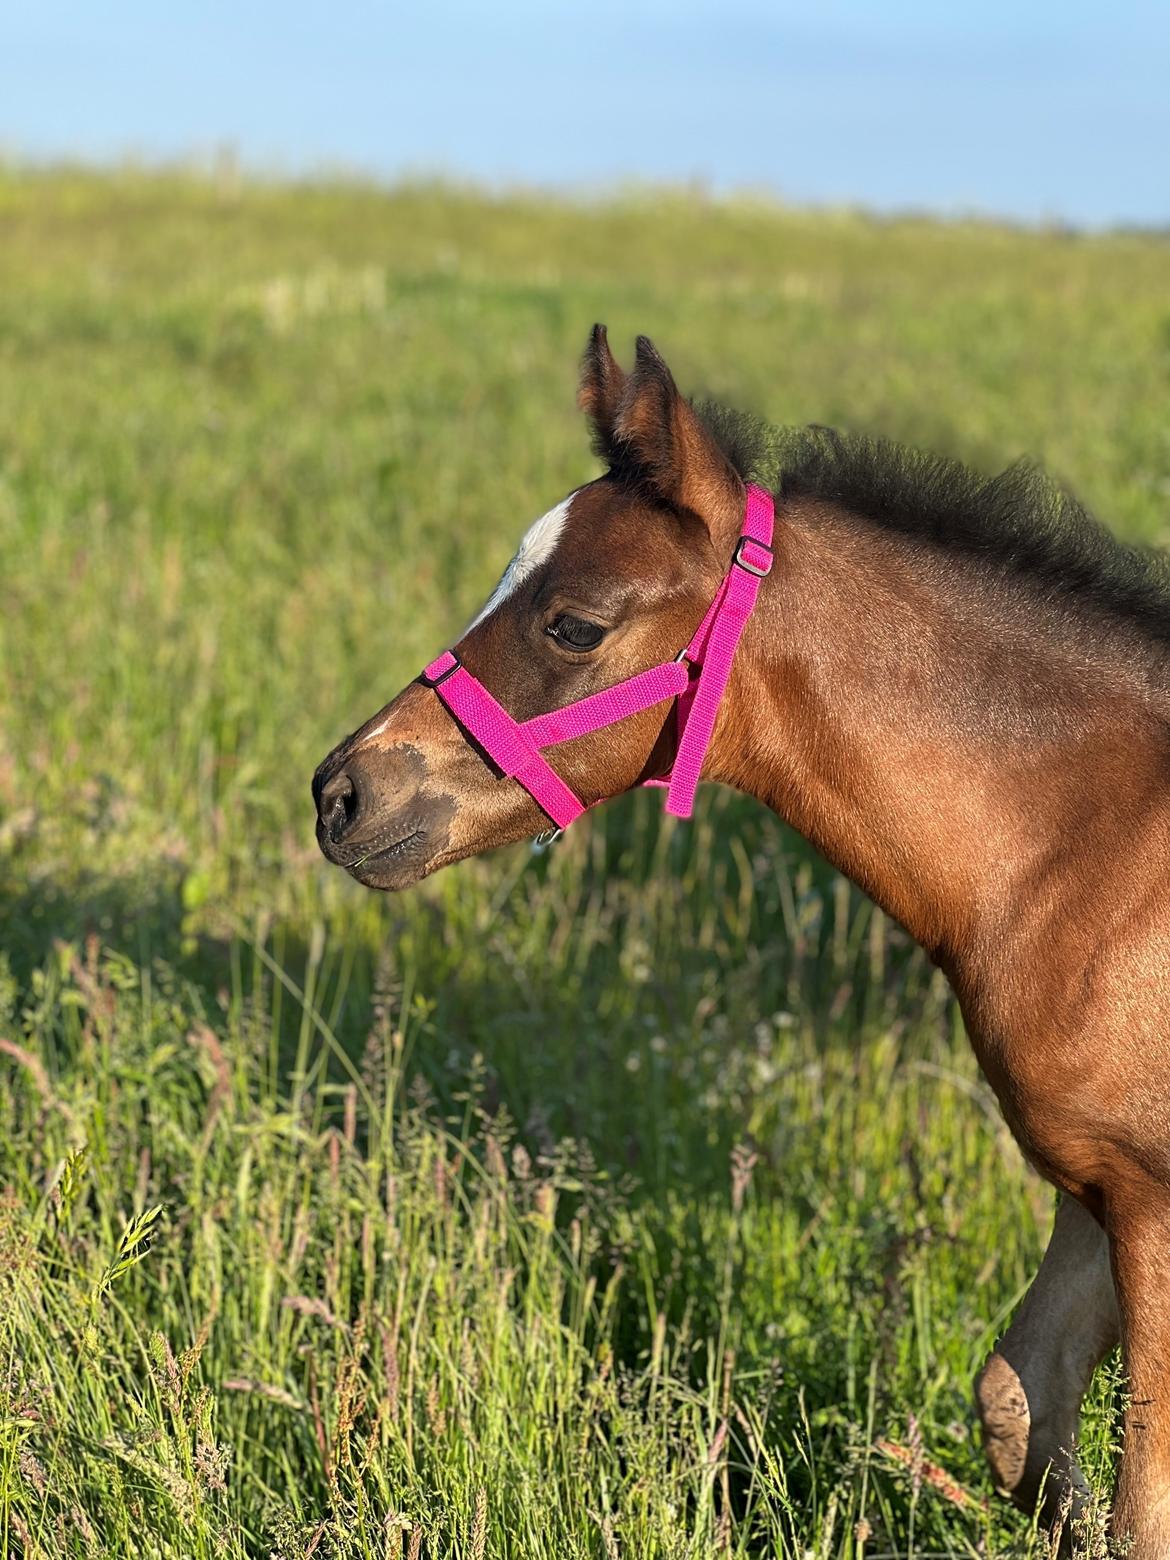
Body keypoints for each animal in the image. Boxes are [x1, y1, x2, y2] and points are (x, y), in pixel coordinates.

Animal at [313, 326, 1170, 1556]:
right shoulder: (1097, 1184)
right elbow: (1021, 1406)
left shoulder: (1153, 1201)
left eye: (574, 624)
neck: (1091, 849)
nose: (341, 794)